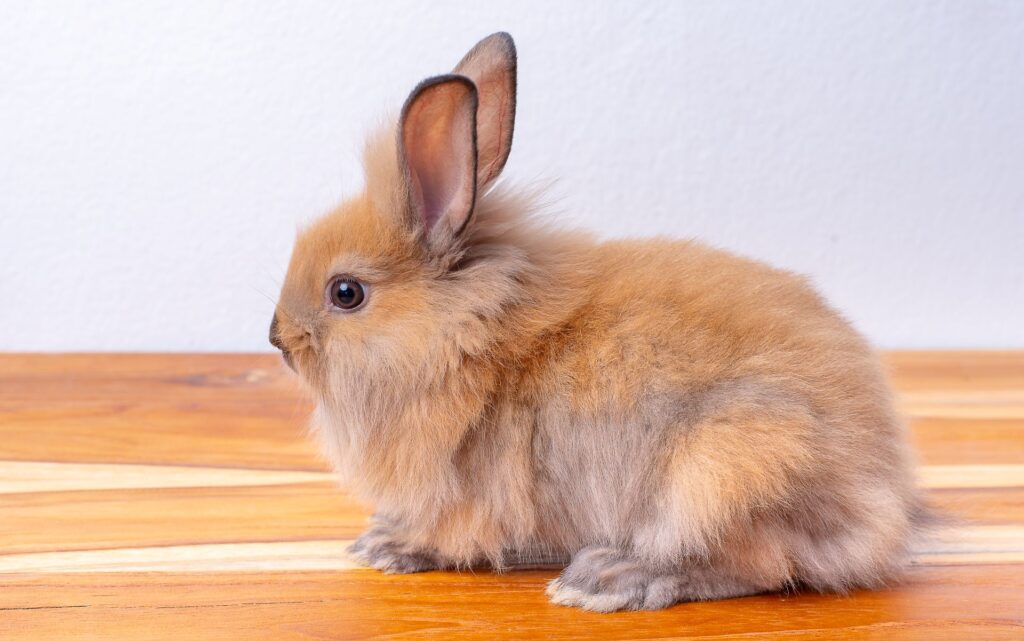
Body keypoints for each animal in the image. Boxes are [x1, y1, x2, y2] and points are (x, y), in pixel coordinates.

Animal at [270, 32, 930, 612]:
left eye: (346, 293)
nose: (277, 339)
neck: (465, 332)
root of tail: (881, 503)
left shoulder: (468, 495)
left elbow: (452, 534)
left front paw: (388, 545)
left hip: (727, 468)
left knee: (755, 563)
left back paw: (609, 578)